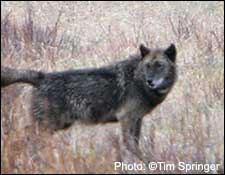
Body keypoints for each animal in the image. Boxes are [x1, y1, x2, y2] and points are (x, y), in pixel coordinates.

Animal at [1, 43, 178, 160]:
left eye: (159, 65)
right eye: (148, 66)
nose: (150, 81)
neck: (137, 79)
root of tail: (41, 76)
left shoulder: (137, 118)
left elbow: (135, 143)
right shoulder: (126, 118)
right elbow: (131, 146)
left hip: (58, 125)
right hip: (48, 126)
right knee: (25, 136)